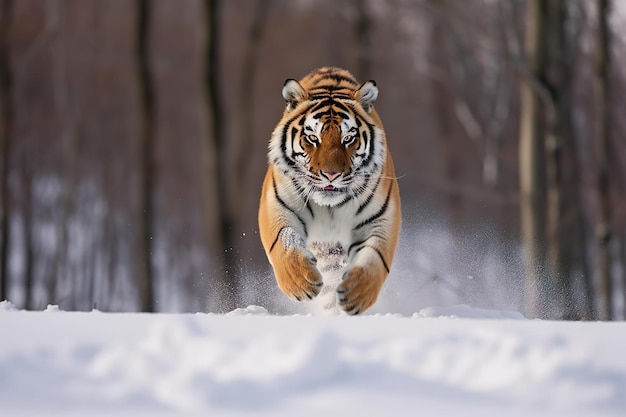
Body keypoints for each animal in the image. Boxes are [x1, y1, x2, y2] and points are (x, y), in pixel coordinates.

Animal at [258, 66, 400, 314]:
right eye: (312, 138)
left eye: (348, 138)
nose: (331, 174)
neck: (330, 207)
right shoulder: (277, 205)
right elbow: (283, 242)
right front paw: (301, 282)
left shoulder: (382, 217)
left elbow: (375, 258)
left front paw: (356, 294)